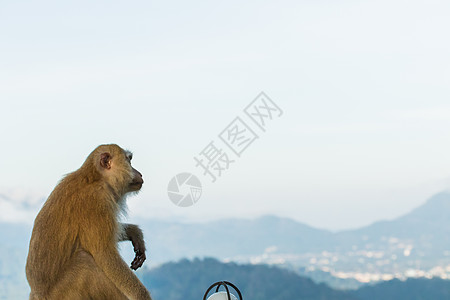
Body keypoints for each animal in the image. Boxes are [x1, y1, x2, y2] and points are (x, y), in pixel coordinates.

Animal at [25, 144, 152, 298]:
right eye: (129, 161)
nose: (139, 173)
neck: (96, 178)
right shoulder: (97, 200)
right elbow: (105, 255)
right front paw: (141, 295)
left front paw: (135, 232)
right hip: (65, 293)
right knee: (84, 262)